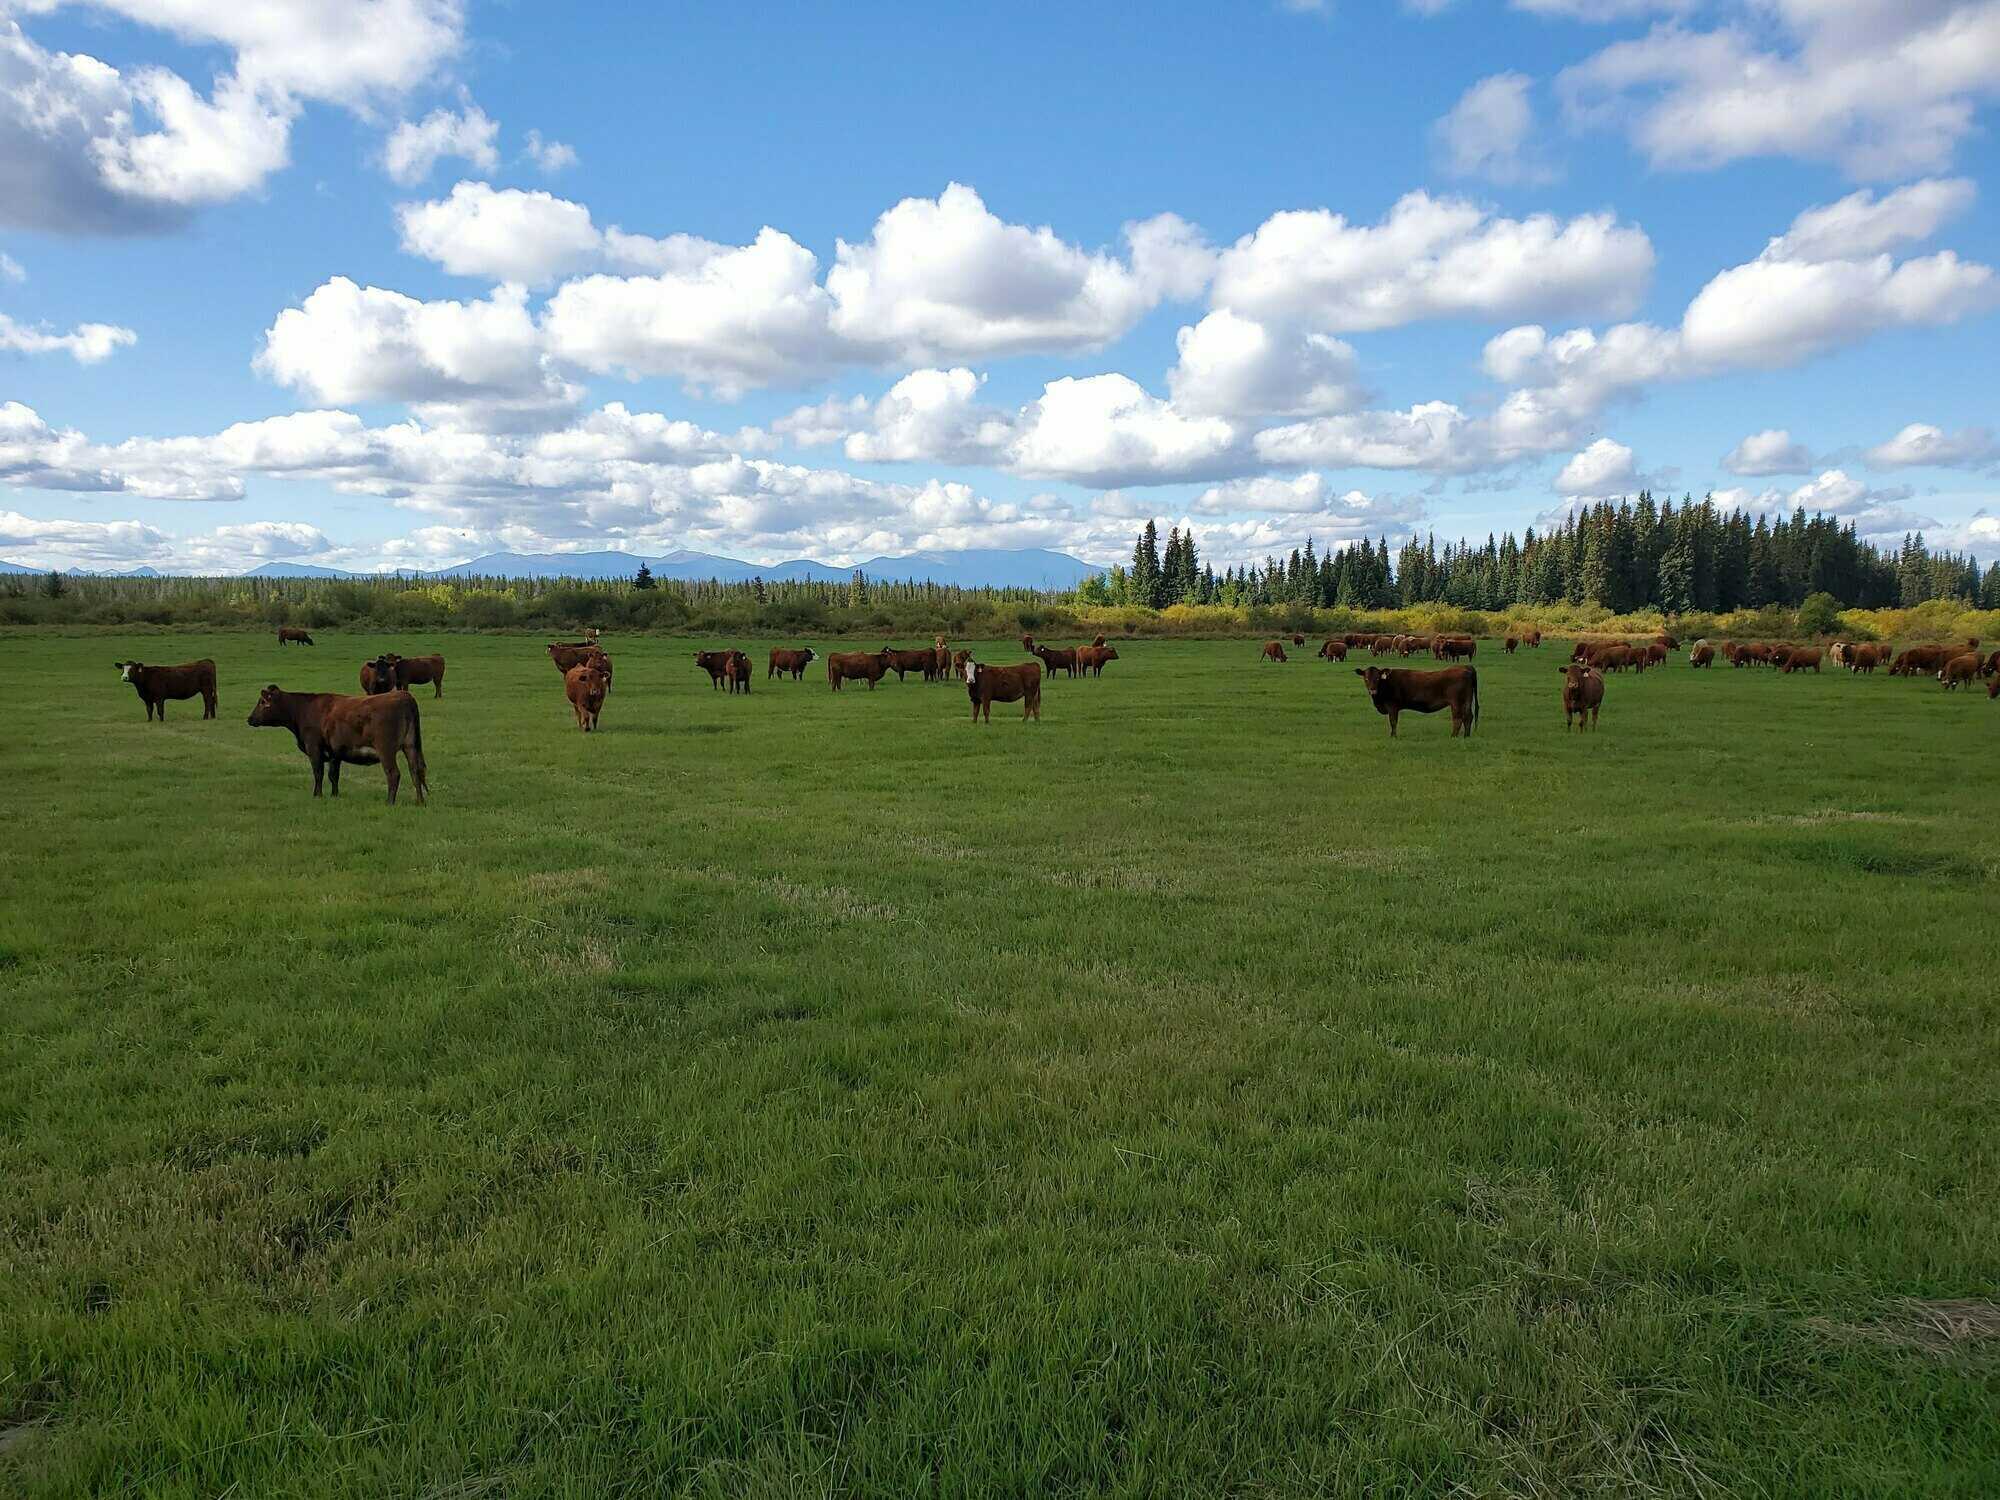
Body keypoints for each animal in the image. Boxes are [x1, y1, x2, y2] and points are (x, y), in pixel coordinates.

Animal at [247, 685, 427, 804]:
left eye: (262, 702)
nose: (249, 719)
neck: (304, 709)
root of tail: (404, 695)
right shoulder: (335, 753)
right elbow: (333, 775)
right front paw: (334, 795)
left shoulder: (314, 748)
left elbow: (318, 773)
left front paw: (317, 795)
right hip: (410, 746)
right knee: (415, 771)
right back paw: (420, 801)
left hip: (386, 750)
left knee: (393, 774)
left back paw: (389, 802)